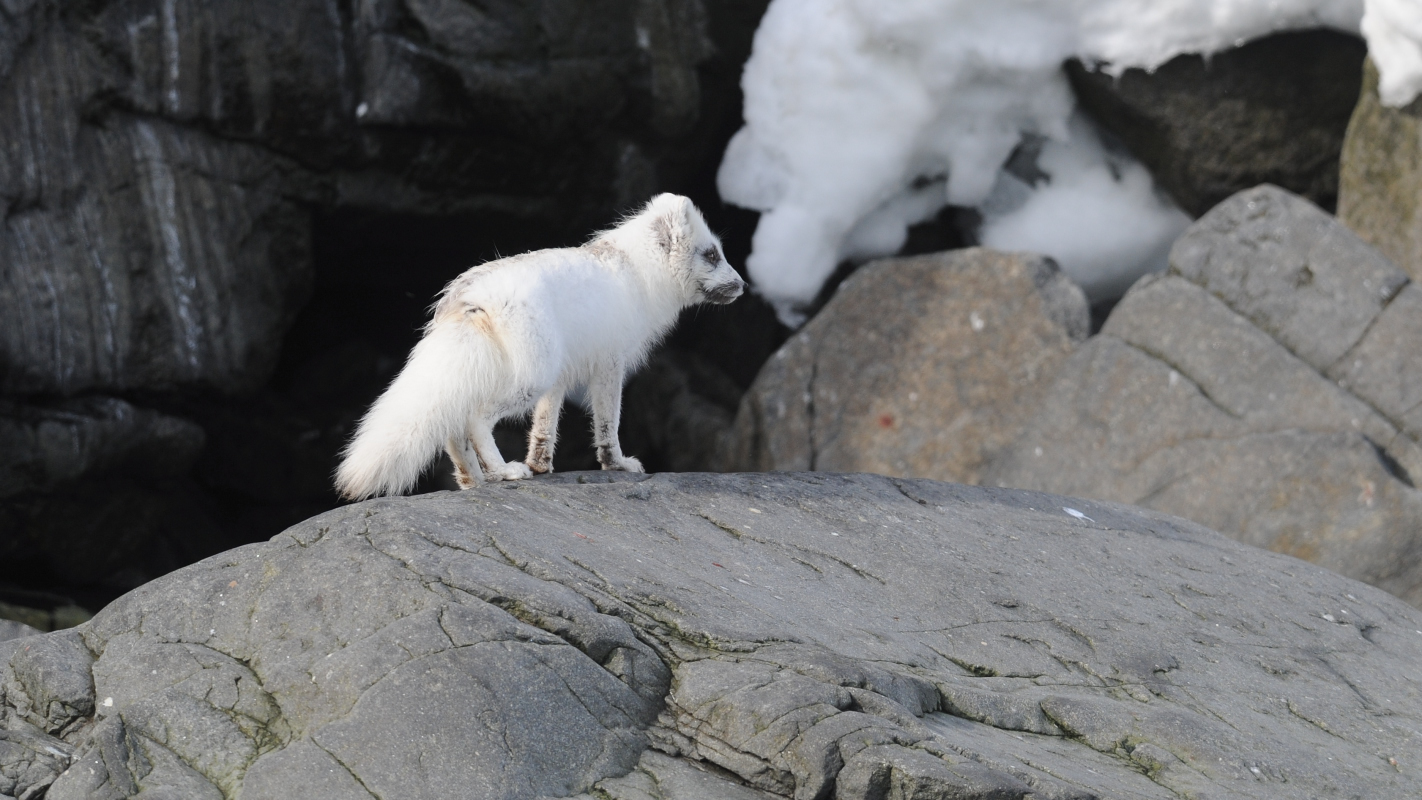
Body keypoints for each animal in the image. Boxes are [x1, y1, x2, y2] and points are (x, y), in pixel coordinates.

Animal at [334, 191, 750, 500]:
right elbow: (608, 424)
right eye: (712, 255)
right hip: (529, 378)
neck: (637, 272)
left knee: (452, 430)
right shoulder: (609, 364)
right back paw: (504, 471)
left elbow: (544, 427)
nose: (744, 286)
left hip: (516, 373)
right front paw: (616, 464)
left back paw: (475, 482)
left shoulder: (562, 379)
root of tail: (470, 295)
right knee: (474, 421)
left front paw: (541, 465)